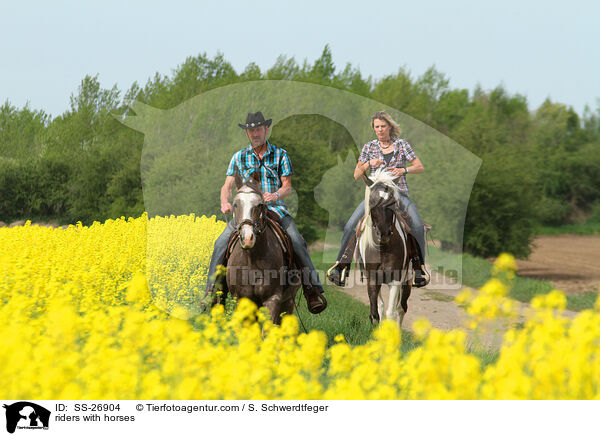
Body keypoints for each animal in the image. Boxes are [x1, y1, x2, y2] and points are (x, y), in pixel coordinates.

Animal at [225, 173, 300, 324]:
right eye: (235, 204)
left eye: (259, 205)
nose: (247, 238)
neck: (252, 259)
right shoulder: (242, 299)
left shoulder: (272, 299)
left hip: (288, 302)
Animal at [354, 169, 414, 328]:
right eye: (372, 202)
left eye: (393, 202)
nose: (384, 233)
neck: (383, 248)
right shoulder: (373, 278)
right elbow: (377, 310)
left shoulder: (396, 280)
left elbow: (391, 313)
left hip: (407, 280)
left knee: (401, 308)